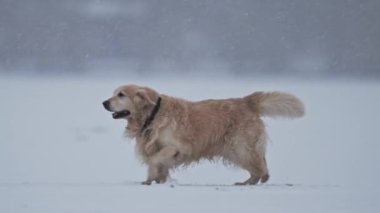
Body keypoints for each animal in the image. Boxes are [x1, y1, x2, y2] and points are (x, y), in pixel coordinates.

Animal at [102, 84, 304, 185]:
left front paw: (154, 178)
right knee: (262, 164)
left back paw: (249, 182)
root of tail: (246, 101)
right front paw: (154, 181)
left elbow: (155, 159)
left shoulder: (177, 146)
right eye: (114, 93)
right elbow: (157, 165)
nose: (104, 102)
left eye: (121, 95)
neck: (153, 114)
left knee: (259, 167)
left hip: (239, 147)